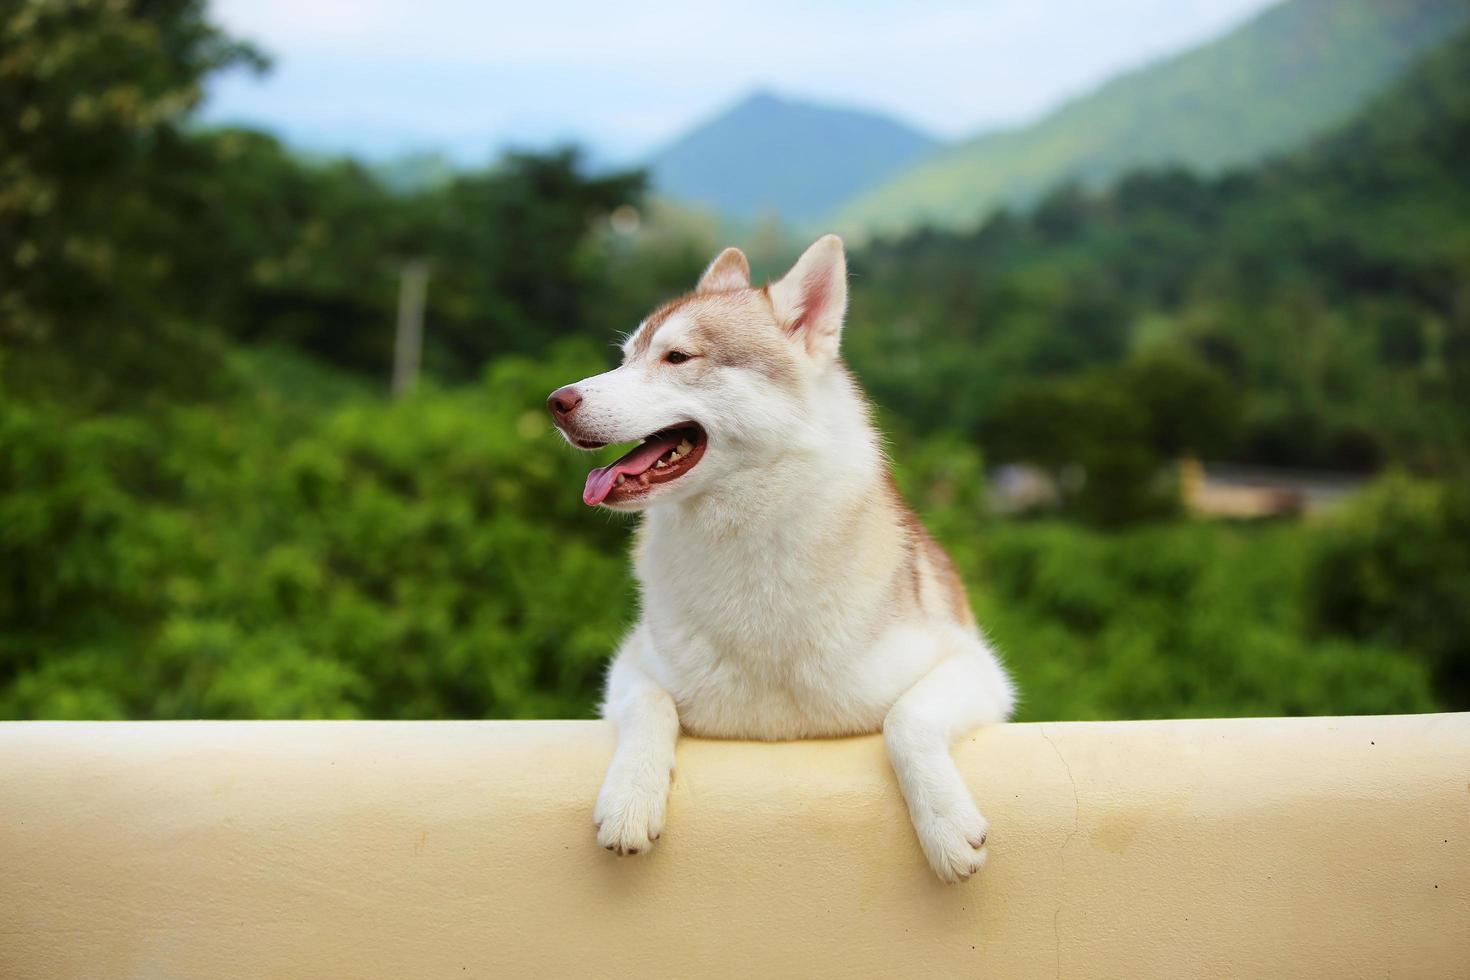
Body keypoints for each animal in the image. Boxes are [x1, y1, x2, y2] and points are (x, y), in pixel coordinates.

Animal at [546, 235, 1017, 881]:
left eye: (677, 357)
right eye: (623, 358)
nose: (555, 402)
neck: (749, 552)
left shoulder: (975, 667)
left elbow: (907, 719)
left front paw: (945, 825)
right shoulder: (631, 665)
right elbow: (651, 705)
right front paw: (629, 798)